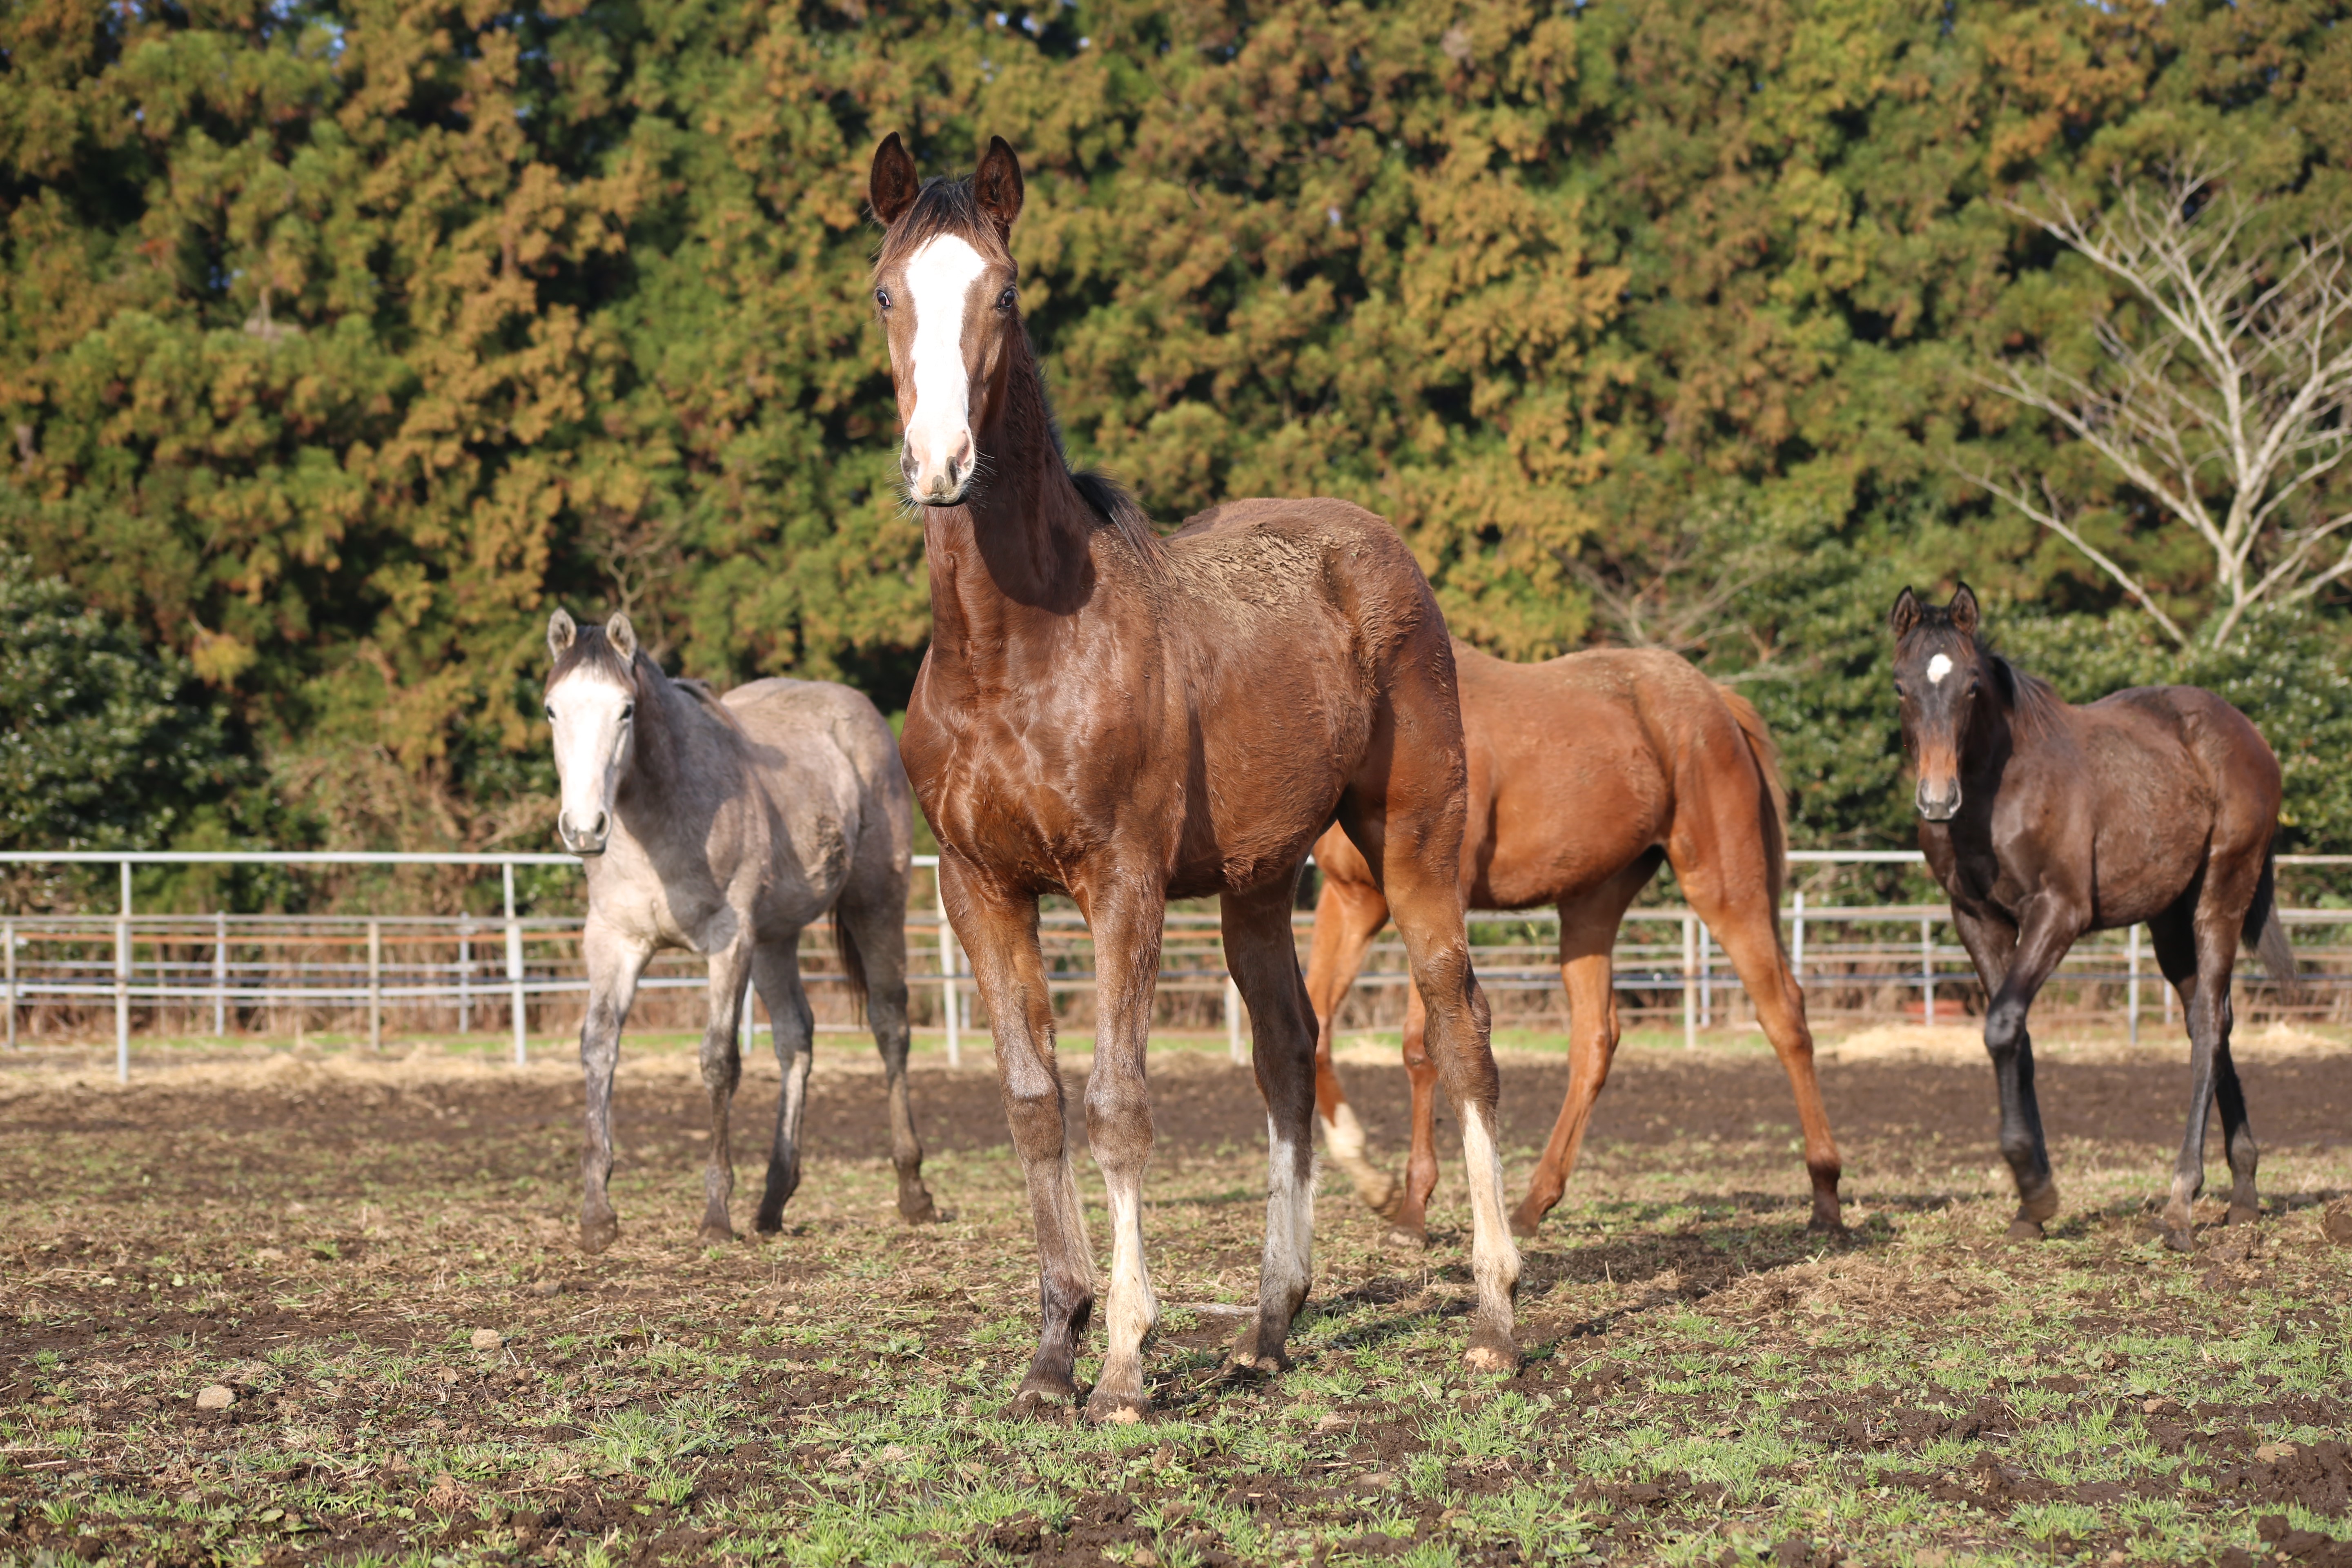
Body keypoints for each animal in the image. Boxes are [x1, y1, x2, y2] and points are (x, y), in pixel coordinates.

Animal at [541, 606, 936, 1260]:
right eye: (552, 709)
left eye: (626, 710)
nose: (583, 828)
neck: (659, 817)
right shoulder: (614, 943)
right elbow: (598, 1049)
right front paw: (597, 1215)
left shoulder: (728, 943)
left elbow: (718, 1061)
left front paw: (715, 1214)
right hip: (777, 939)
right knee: (795, 1038)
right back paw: (773, 1202)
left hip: (875, 904)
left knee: (890, 1027)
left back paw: (913, 1192)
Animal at [875, 129, 1515, 1420]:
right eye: (881, 293)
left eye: (1003, 294)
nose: (941, 463)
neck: (1012, 649)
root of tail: (1374, 550)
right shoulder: (979, 888)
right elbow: (1035, 1105)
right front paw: (1051, 1353)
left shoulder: (1119, 880)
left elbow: (1118, 1105)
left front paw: (1122, 1361)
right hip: (1259, 884)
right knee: (1287, 1053)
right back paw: (1268, 1329)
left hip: (1414, 841)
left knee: (1458, 1022)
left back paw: (1495, 1317)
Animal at [1307, 644, 1834, 1241]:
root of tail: (1716, 700)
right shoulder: (1351, 899)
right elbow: (1318, 1023)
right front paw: (1371, 1179)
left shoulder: (1440, 897)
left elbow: (1423, 1048)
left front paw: (1413, 1208)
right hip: (1591, 907)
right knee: (1595, 1041)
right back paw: (1534, 1202)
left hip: (1726, 889)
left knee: (1785, 1017)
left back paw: (1827, 1198)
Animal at [1891, 588, 2295, 1250]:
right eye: (1900, 686)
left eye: (1972, 687)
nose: (1936, 799)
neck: (2001, 789)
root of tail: (2250, 736)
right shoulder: (1977, 920)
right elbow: (2017, 1038)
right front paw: (2031, 1209)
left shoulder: (2059, 912)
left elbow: (2002, 1026)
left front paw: (2035, 1185)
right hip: (2169, 921)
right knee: (2214, 1022)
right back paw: (2243, 1193)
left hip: (2223, 891)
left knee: (2209, 1021)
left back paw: (2181, 1203)